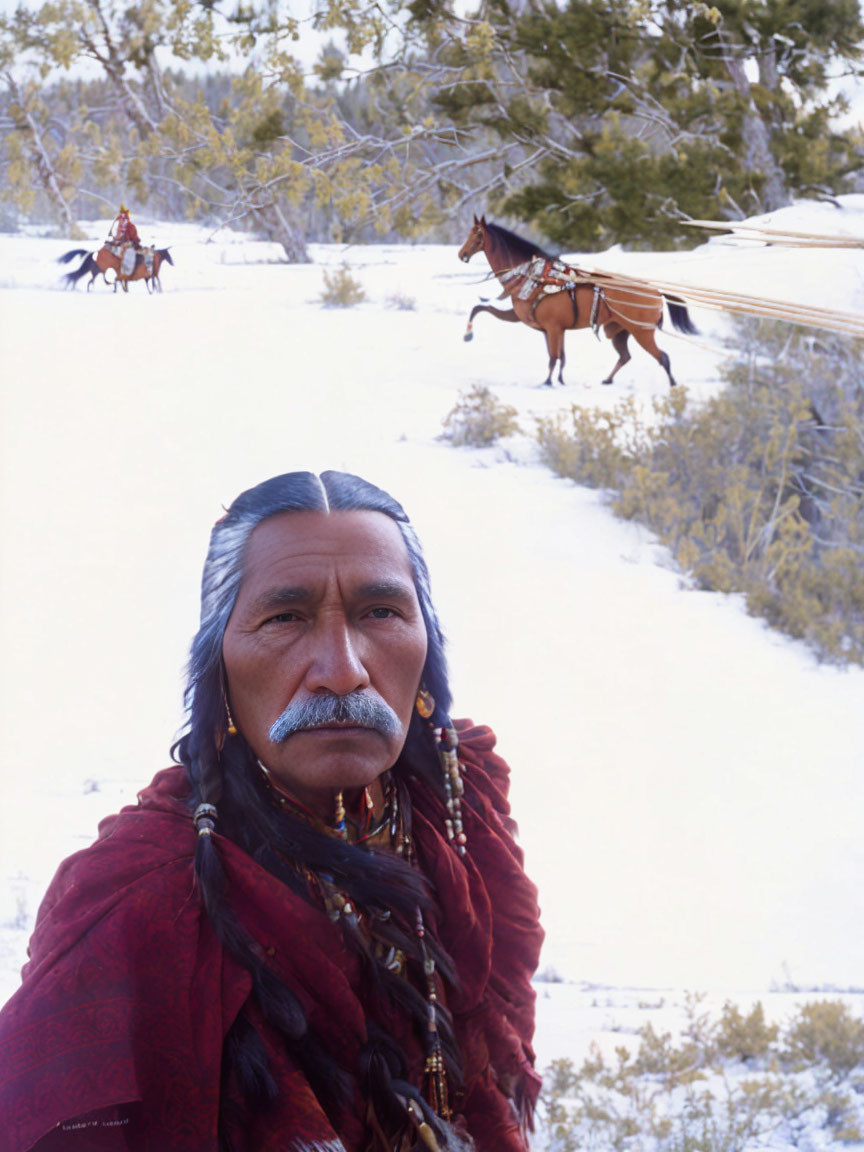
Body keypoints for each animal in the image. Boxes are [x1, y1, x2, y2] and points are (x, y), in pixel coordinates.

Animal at [460, 217, 695, 389]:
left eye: (477, 233)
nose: (461, 254)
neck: (534, 276)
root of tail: (655, 291)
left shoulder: (552, 327)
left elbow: (554, 356)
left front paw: (548, 382)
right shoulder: (543, 326)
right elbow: (481, 308)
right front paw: (559, 380)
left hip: (642, 332)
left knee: (662, 357)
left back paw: (673, 384)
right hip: (619, 331)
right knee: (625, 356)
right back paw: (607, 380)